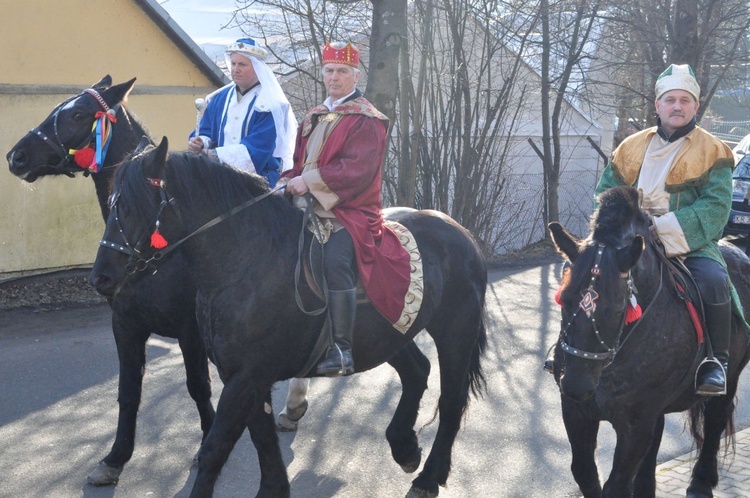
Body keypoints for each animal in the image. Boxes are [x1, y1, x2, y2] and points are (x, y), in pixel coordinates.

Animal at [6, 76, 217, 484]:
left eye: (77, 114)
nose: (15, 157)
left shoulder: (190, 329)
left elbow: (198, 385)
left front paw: (208, 443)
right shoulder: (125, 324)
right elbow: (128, 391)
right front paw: (115, 457)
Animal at [89, 137, 488, 498]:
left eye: (130, 207)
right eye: (111, 205)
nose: (101, 277)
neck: (246, 258)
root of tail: (460, 231)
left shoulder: (245, 376)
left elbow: (215, 448)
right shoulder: (243, 375)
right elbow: (262, 437)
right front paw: (274, 489)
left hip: (455, 332)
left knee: (451, 402)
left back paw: (428, 477)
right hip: (388, 336)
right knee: (417, 371)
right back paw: (404, 448)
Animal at [548, 185, 750, 496]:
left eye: (617, 308)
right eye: (564, 299)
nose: (576, 385)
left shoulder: (635, 425)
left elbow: (616, 485)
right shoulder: (576, 412)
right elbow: (585, 473)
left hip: (731, 377)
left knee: (715, 421)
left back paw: (701, 482)